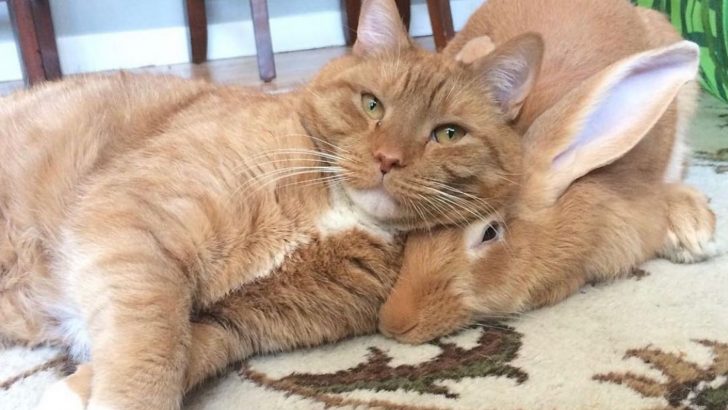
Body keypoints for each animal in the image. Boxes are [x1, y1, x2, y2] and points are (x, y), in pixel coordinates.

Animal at [0, 0, 540, 406]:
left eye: (447, 134)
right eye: (372, 105)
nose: (388, 159)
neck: (339, 209)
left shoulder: (233, 326)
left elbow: (182, 352)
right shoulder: (135, 227)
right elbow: (152, 348)